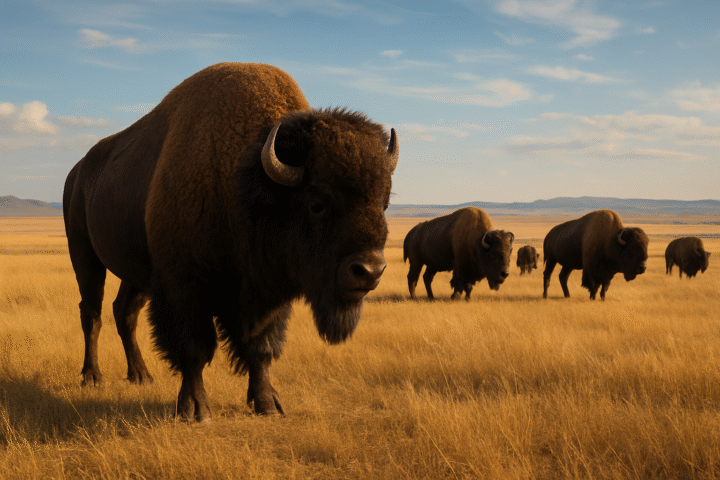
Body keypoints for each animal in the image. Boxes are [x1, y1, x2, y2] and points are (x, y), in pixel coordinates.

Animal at [63, 63, 398, 422]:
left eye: (383, 203)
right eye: (317, 203)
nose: (369, 271)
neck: (244, 185)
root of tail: (77, 172)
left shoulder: (264, 295)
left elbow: (260, 348)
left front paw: (268, 404)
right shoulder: (183, 288)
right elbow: (194, 350)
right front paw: (195, 410)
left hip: (137, 273)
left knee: (124, 312)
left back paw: (140, 375)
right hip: (85, 257)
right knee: (92, 313)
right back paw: (92, 377)